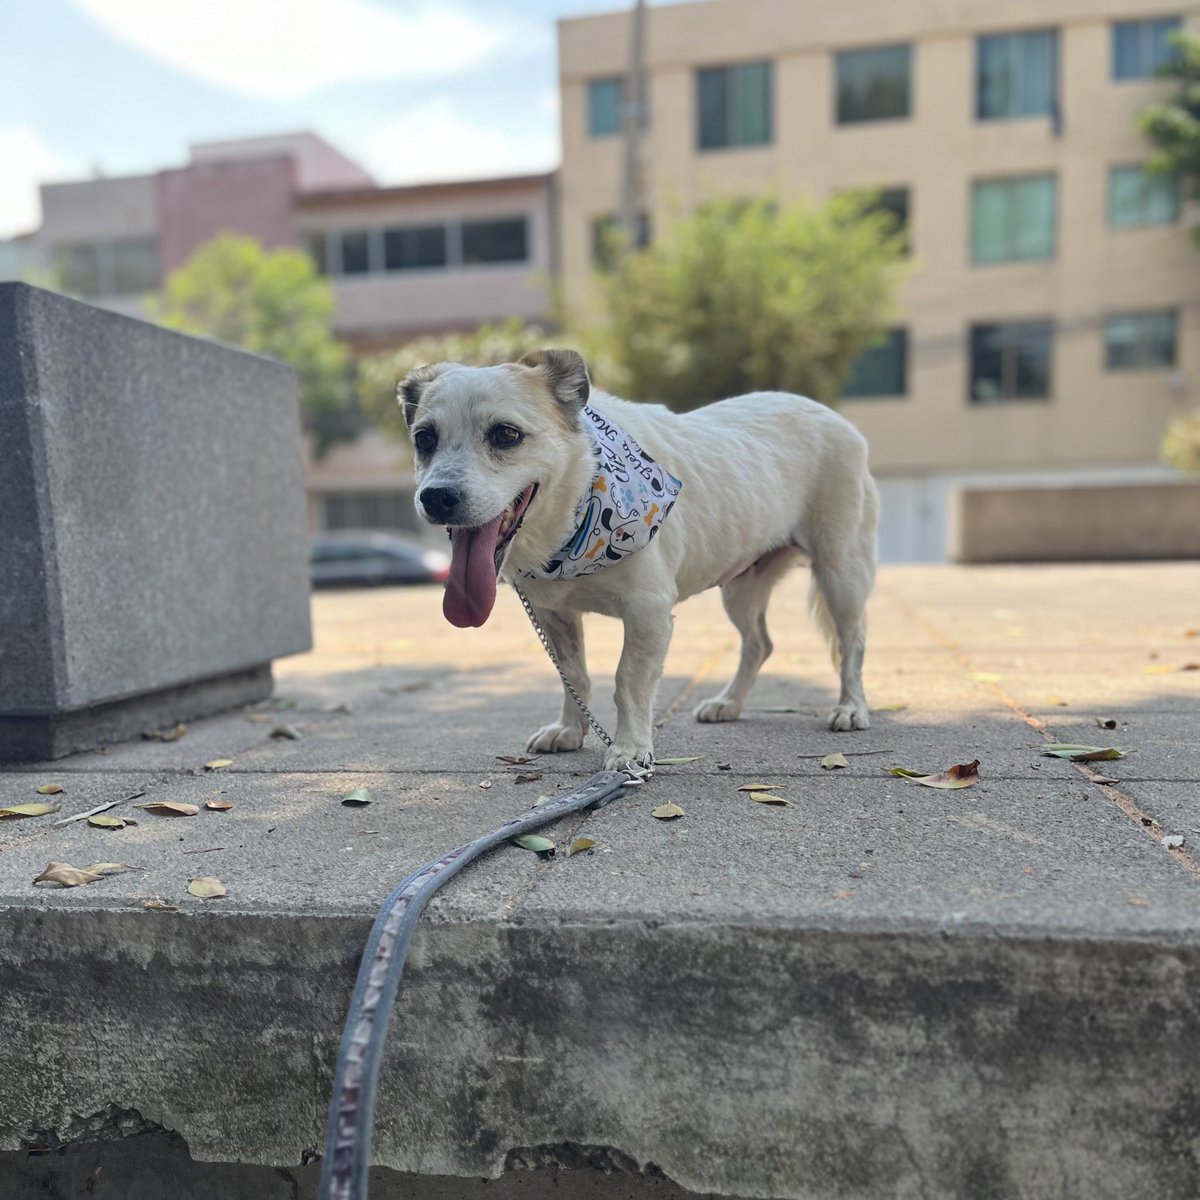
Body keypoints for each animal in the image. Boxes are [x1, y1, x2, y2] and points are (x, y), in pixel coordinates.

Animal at [398, 350, 878, 772]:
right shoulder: (555, 614)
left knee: (852, 643)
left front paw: (630, 749)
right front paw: (569, 731)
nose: (436, 498)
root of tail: (832, 416)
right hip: (741, 587)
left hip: (841, 573)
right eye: (424, 439)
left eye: (505, 434)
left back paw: (851, 708)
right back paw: (729, 703)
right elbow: (573, 677)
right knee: (759, 643)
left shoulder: (649, 612)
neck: (579, 508)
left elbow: (627, 680)